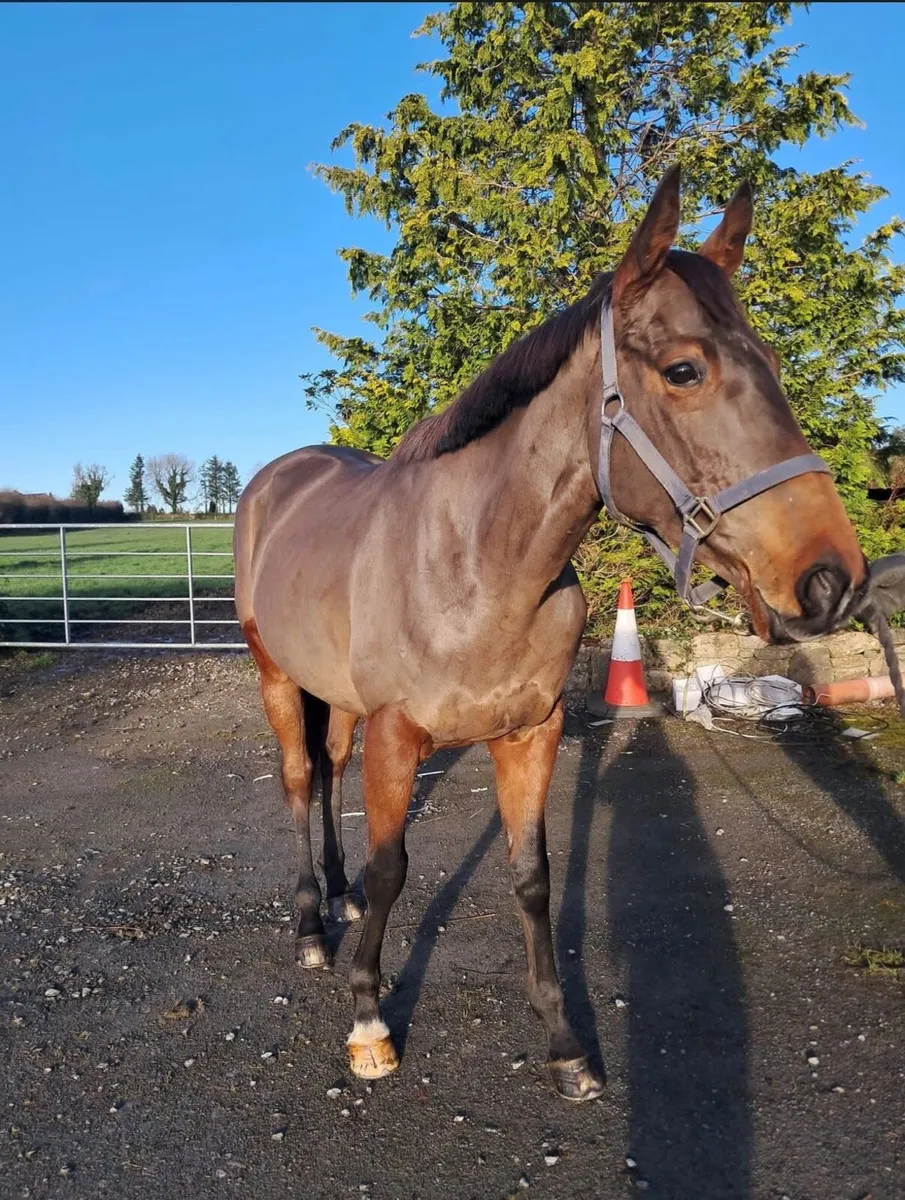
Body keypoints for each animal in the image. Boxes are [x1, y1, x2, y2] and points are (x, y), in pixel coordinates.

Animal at [234, 166, 868, 1101]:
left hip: (334, 696)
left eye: (777, 365)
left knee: (329, 769)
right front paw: (369, 1022)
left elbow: (530, 876)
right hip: (275, 675)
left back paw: (337, 898)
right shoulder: (398, 734)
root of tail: (280, 476)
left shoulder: (530, 731)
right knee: (294, 779)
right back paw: (314, 927)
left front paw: (565, 1043)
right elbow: (395, 869)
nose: (831, 577)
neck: (475, 564)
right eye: (684, 370)